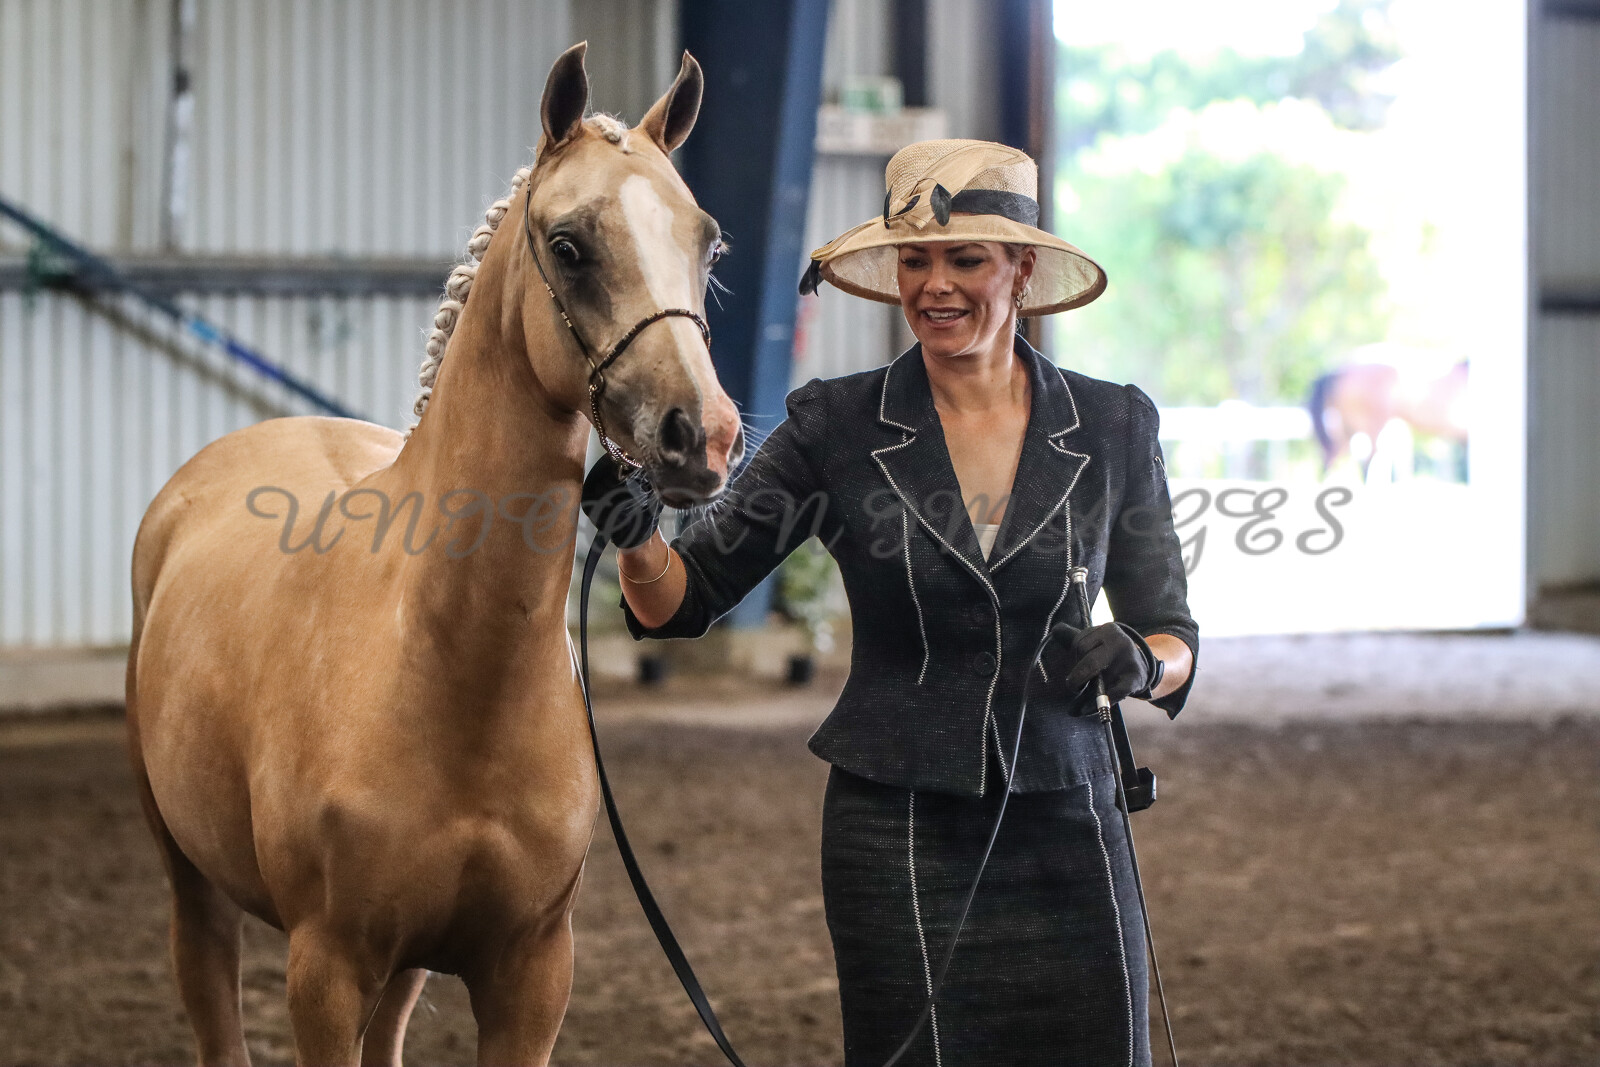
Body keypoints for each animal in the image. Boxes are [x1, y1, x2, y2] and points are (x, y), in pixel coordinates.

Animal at [125, 43, 741, 1067]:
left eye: (708, 244)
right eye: (569, 245)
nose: (704, 437)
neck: (446, 665)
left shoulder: (532, 973)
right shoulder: (324, 971)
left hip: (409, 960)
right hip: (191, 886)